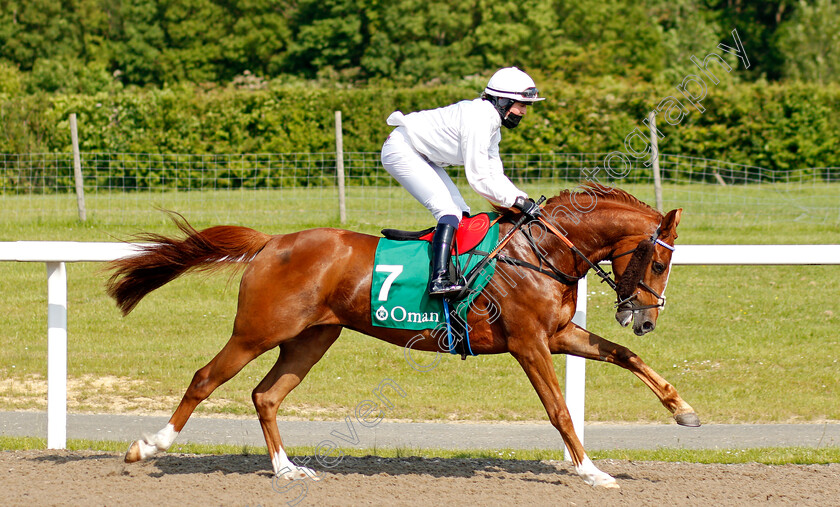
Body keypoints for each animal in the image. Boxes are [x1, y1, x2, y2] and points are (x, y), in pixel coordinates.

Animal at [105, 185, 696, 490]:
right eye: (660, 261)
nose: (645, 317)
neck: (542, 253)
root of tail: (272, 242)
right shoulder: (529, 343)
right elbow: (559, 410)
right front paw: (592, 471)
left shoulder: (558, 333)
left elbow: (624, 355)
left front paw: (683, 410)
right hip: (256, 331)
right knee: (205, 379)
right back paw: (148, 446)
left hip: (311, 339)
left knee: (265, 395)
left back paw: (287, 468)